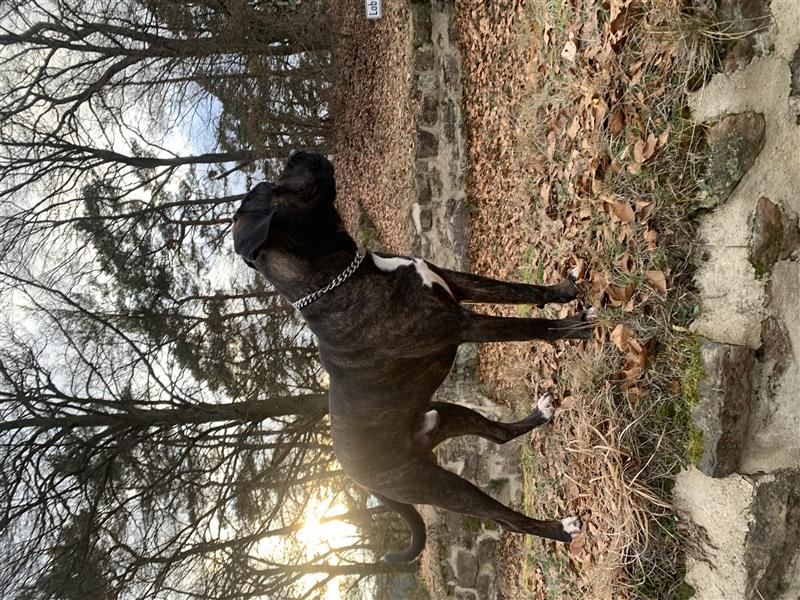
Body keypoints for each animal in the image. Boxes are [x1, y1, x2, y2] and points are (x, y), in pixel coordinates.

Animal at [231, 150, 592, 564]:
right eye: (268, 185)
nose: (295, 153)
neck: (340, 276)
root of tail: (360, 480)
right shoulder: (460, 324)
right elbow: (534, 327)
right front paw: (577, 328)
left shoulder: (455, 283)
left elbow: (519, 290)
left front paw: (564, 290)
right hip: (438, 484)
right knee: (506, 519)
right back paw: (560, 529)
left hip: (446, 414)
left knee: (498, 434)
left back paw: (541, 415)